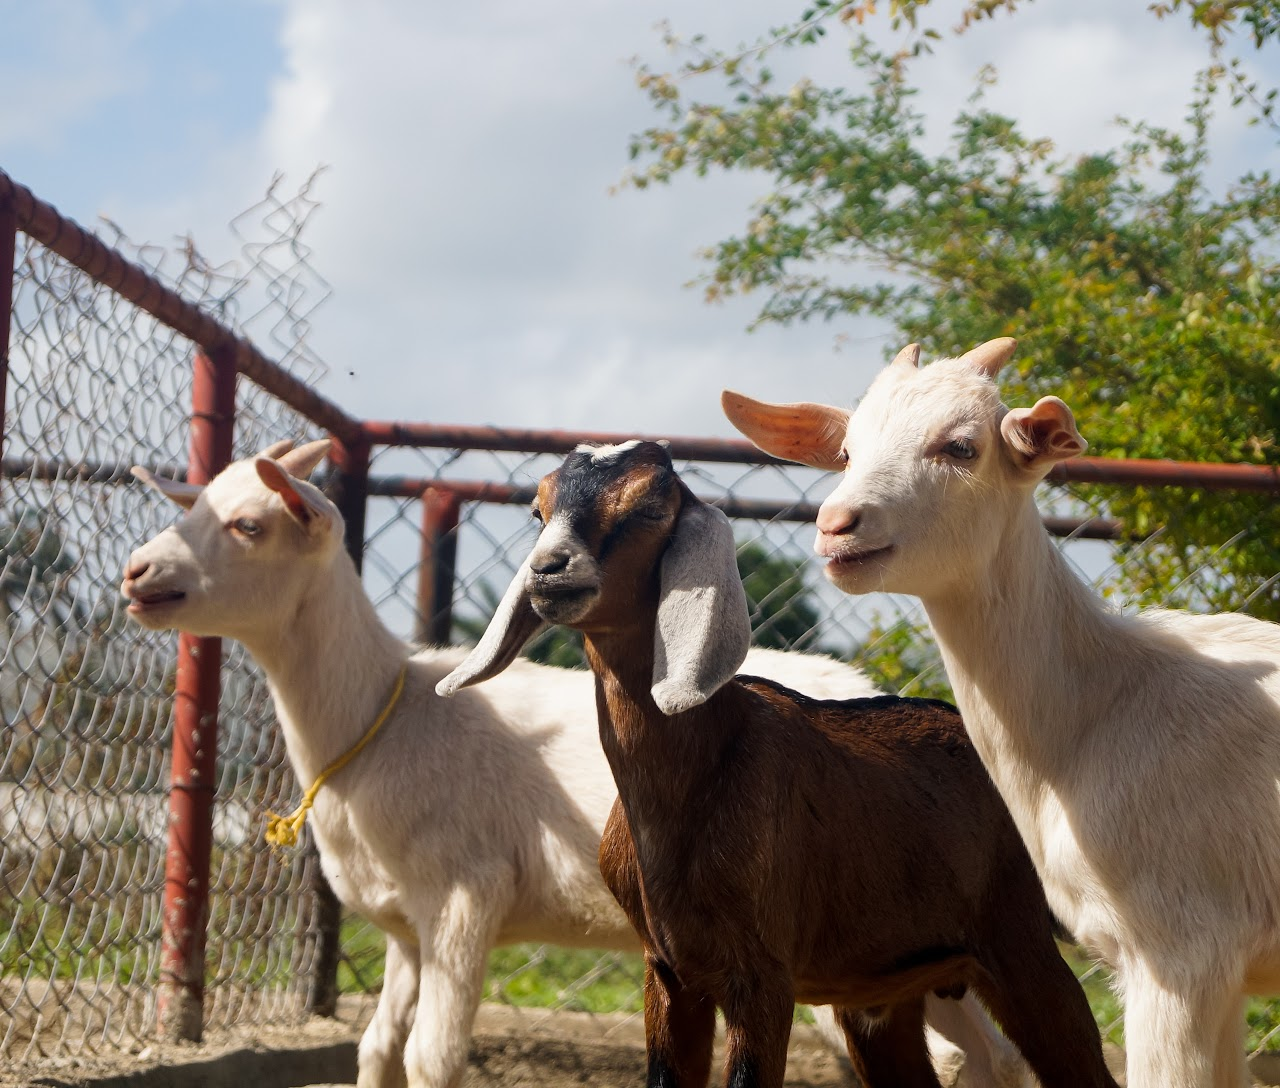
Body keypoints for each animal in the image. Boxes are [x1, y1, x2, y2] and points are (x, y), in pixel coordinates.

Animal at [121, 439, 1027, 1088]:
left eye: (249, 525)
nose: (136, 572)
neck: (382, 713)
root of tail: (869, 688)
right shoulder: (406, 930)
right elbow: (376, 1052)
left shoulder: (466, 894)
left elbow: (430, 1058)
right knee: (990, 1056)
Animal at [436, 438, 1117, 1088]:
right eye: (538, 510)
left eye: (651, 507)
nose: (549, 571)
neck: (702, 771)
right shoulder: (668, 972)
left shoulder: (762, 979)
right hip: (883, 993)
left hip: (1020, 944)